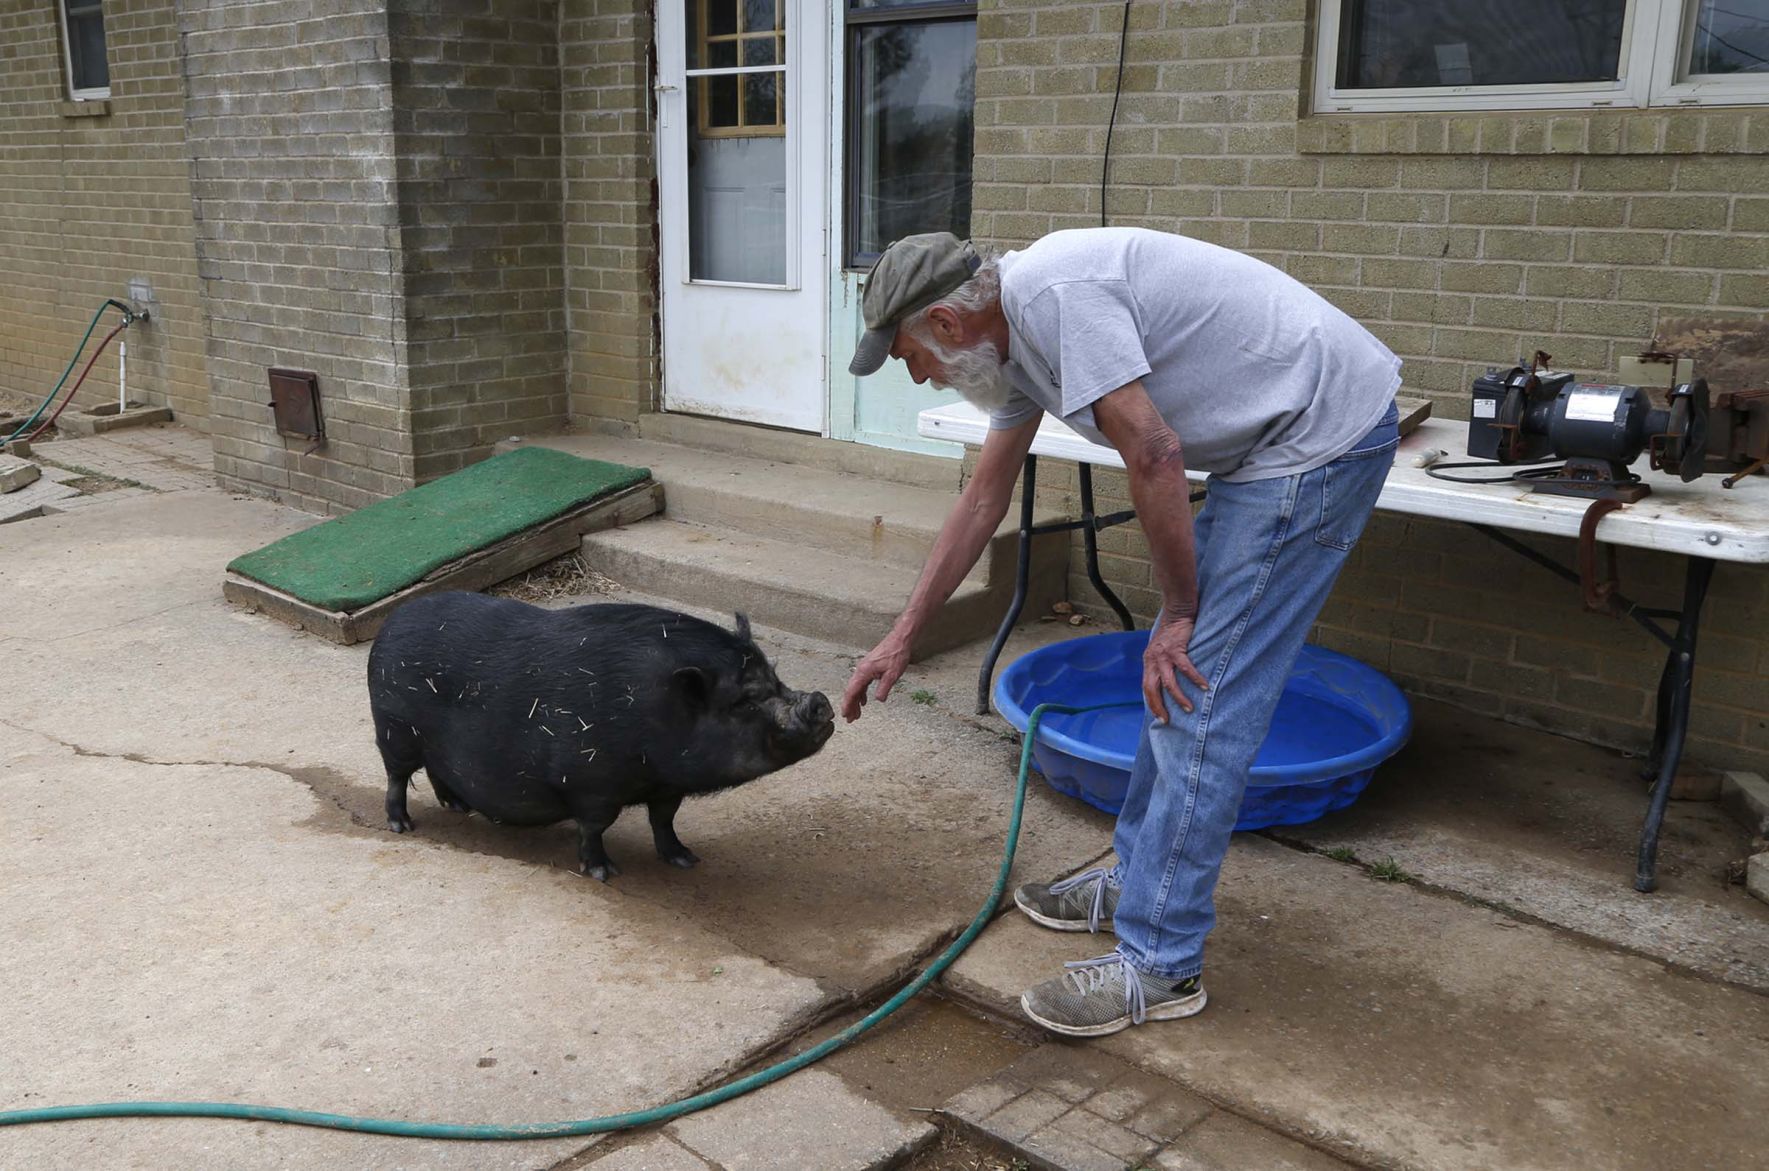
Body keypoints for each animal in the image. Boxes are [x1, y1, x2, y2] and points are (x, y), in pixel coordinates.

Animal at [367, 597, 834, 880]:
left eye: (777, 679)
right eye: (745, 700)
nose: (819, 701)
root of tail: (391, 623)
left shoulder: (667, 785)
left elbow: (664, 819)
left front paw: (686, 860)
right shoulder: (591, 782)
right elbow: (594, 827)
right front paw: (604, 873)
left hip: (424, 741)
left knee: (437, 771)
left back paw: (458, 807)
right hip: (394, 731)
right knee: (397, 777)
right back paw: (402, 825)